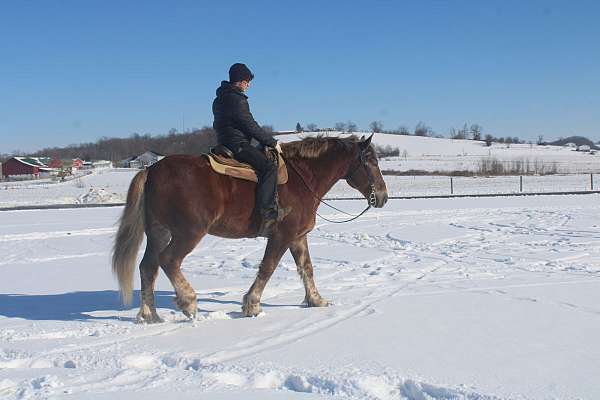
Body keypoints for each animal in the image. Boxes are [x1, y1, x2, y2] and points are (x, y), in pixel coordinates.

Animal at [111, 134, 390, 322]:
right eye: (372, 161)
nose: (383, 197)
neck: (302, 179)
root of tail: (151, 170)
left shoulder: (297, 237)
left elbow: (307, 268)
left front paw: (316, 300)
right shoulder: (281, 236)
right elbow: (268, 268)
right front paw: (252, 305)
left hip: (158, 232)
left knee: (148, 267)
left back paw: (150, 314)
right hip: (188, 233)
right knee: (168, 260)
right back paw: (188, 302)